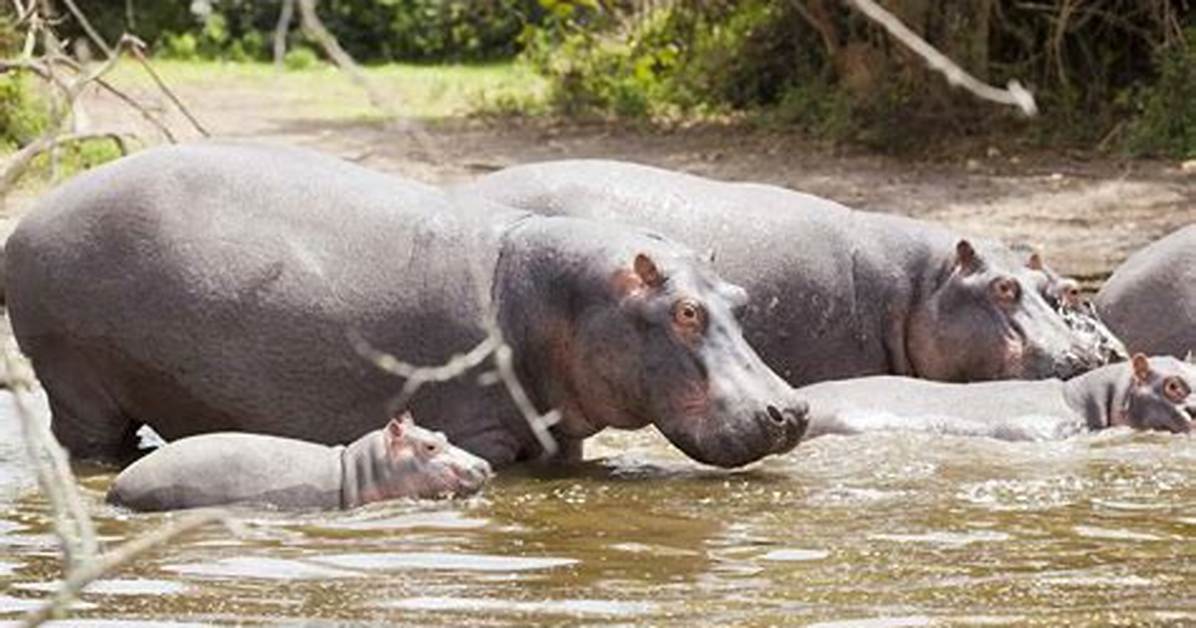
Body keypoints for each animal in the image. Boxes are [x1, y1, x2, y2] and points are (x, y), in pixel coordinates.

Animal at [6, 143, 807, 469]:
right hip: (78, 389)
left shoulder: (559, 439)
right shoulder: (479, 434)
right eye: (684, 312)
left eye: (737, 298)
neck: (556, 297)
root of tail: (29, 219)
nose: (793, 410)